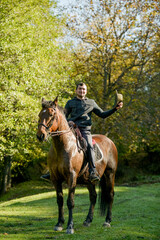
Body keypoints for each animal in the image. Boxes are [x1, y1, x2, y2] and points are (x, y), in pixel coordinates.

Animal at [37, 96, 118, 233]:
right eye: (39, 115)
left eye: (51, 114)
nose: (40, 135)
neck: (63, 147)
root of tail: (110, 141)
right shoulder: (55, 178)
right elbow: (60, 200)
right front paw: (59, 223)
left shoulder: (72, 176)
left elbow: (70, 201)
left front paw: (70, 226)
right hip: (89, 180)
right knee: (93, 196)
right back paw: (88, 220)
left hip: (110, 174)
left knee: (110, 195)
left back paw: (107, 221)